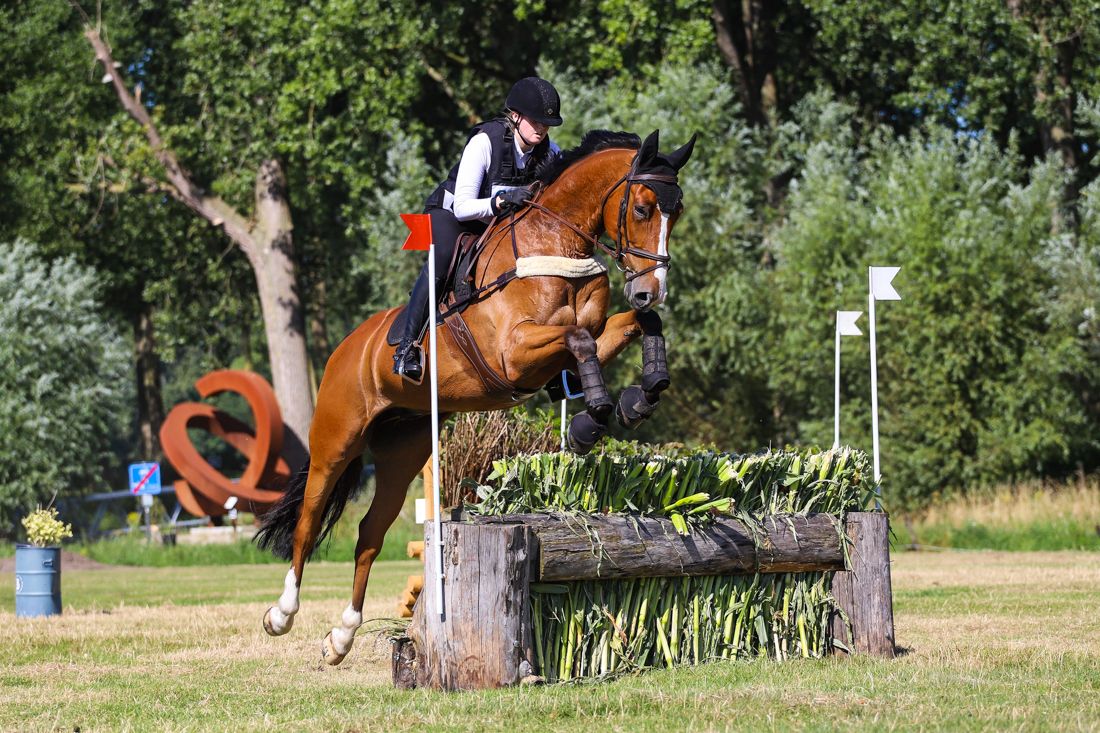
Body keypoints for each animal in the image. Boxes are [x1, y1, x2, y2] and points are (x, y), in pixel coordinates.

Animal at [254, 128, 696, 665]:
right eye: (643, 209)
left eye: (678, 212)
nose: (651, 289)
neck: (557, 244)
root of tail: (345, 347)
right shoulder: (514, 352)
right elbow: (579, 340)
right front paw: (592, 419)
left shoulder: (582, 339)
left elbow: (634, 326)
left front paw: (640, 397)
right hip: (336, 441)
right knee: (308, 520)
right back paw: (281, 614)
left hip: (403, 452)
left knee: (369, 536)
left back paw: (341, 637)